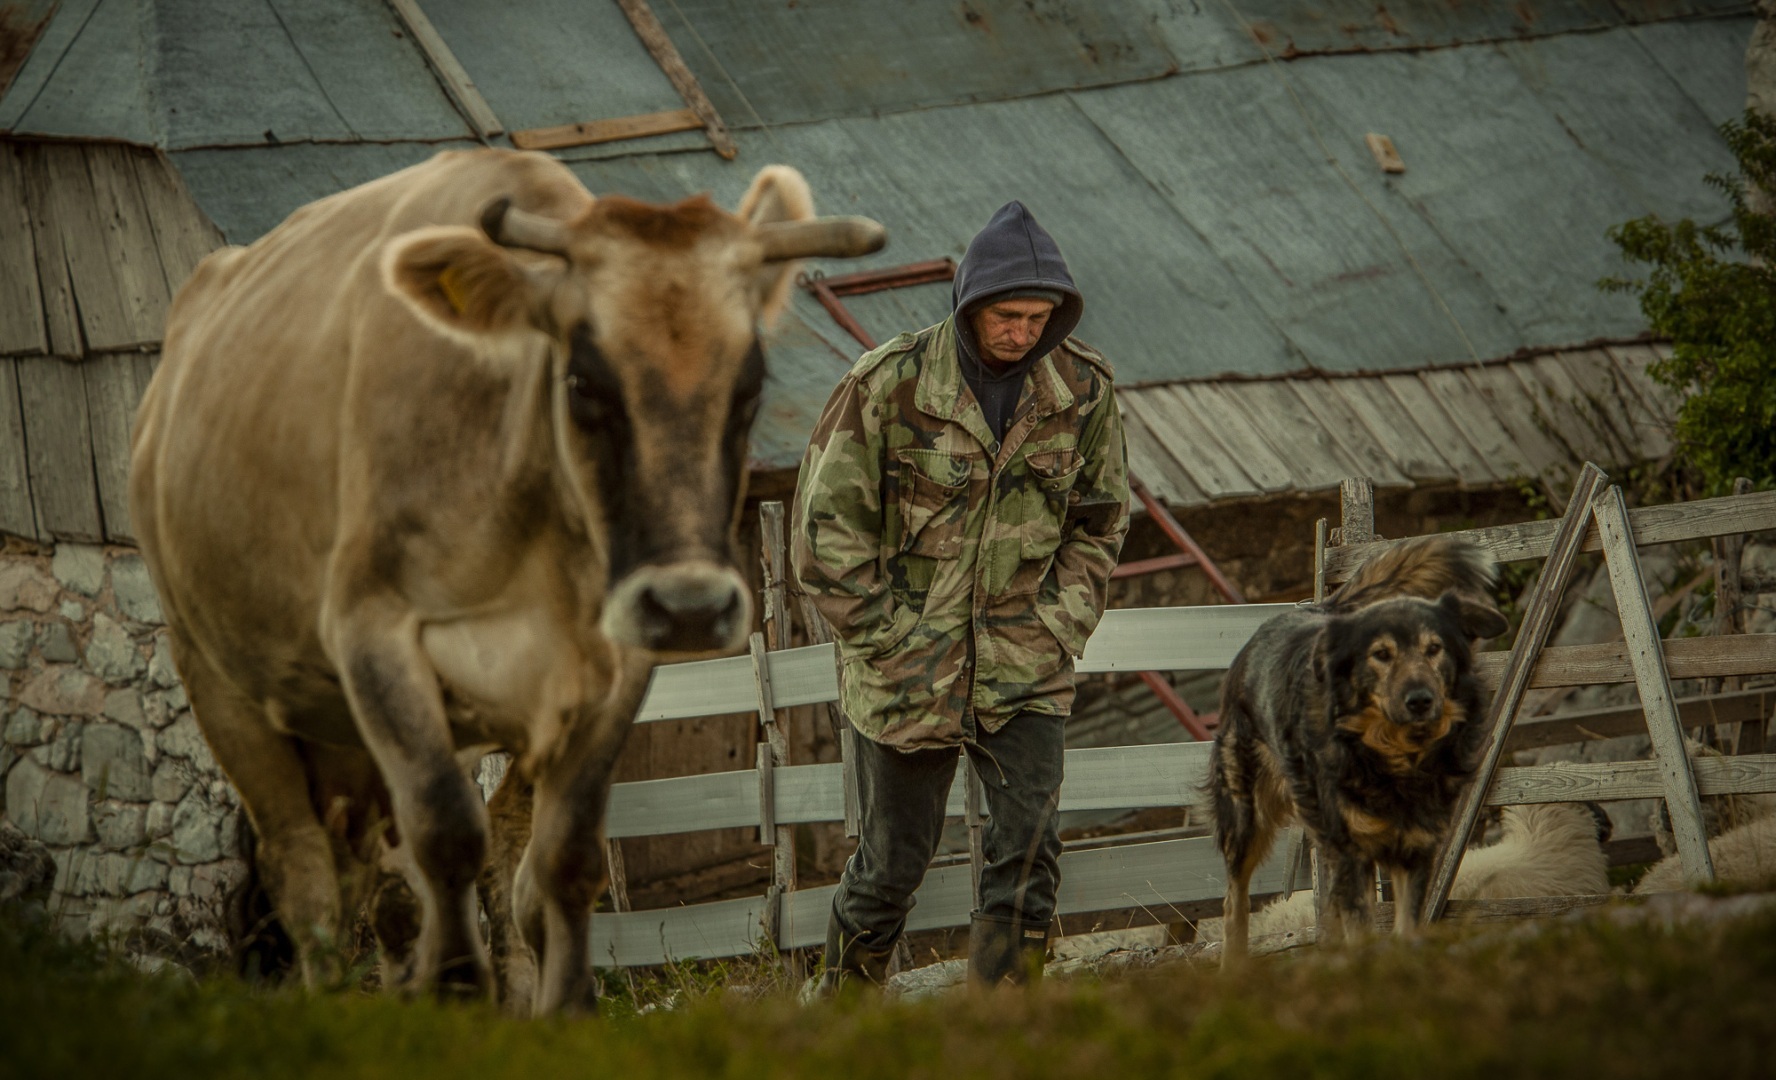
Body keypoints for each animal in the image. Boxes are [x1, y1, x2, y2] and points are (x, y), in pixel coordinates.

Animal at [128, 150, 888, 1008]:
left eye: (749, 384)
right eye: (583, 380)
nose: (690, 606)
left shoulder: (612, 665)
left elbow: (562, 858)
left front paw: (564, 1007)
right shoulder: (375, 639)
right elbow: (447, 837)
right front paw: (460, 995)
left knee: (375, 882)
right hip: (220, 682)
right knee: (306, 874)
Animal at [1200, 536, 1506, 966]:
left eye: (1435, 649)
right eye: (1381, 654)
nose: (1420, 701)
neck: (1396, 758)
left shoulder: (1416, 845)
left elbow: (1407, 922)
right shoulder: (1352, 849)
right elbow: (1361, 922)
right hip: (1247, 814)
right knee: (1235, 899)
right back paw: (1235, 965)